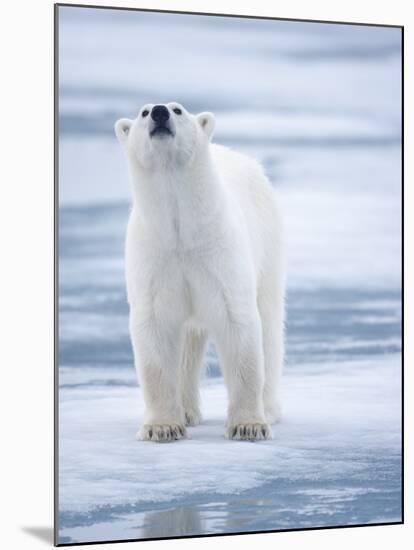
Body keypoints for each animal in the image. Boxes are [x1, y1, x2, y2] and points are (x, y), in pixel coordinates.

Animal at [115, 102, 286, 444]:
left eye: (178, 109)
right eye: (143, 112)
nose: (160, 112)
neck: (182, 232)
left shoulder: (219, 253)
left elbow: (240, 327)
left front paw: (249, 425)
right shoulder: (155, 256)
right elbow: (155, 332)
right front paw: (161, 427)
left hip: (268, 244)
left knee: (270, 325)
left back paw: (269, 408)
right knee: (187, 342)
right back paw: (186, 411)